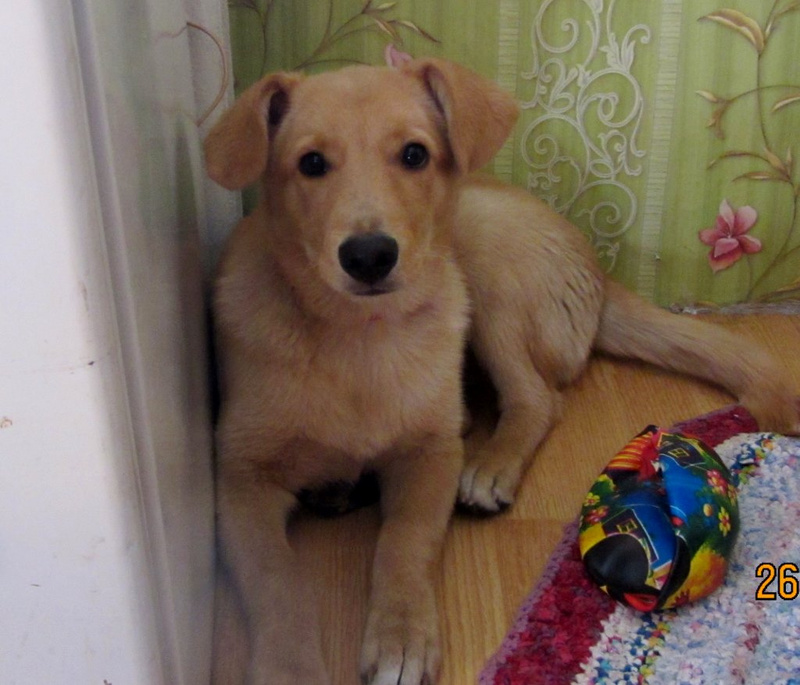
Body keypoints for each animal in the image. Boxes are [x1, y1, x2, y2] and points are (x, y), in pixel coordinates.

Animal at [204, 58, 799, 685]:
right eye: (311, 163)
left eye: (414, 154)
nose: (369, 256)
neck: (358, 336)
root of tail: (599, 273)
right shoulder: (240, 477)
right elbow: (277, 580)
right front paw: (287, 665)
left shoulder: (431, 454)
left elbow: (405, 542)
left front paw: (401, 635)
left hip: (487, 273)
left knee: (538, 398)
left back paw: (490, 464)